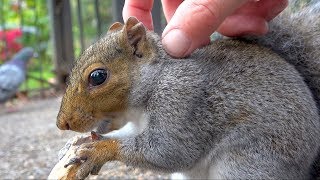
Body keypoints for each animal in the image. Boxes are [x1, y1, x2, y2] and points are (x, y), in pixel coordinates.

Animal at [55, 1, 320, 180]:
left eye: (98, 76)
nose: (62, 124)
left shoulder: (182, 100)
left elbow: (168, 150)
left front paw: (97, 151)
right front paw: (79, 141)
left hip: (249, 163)